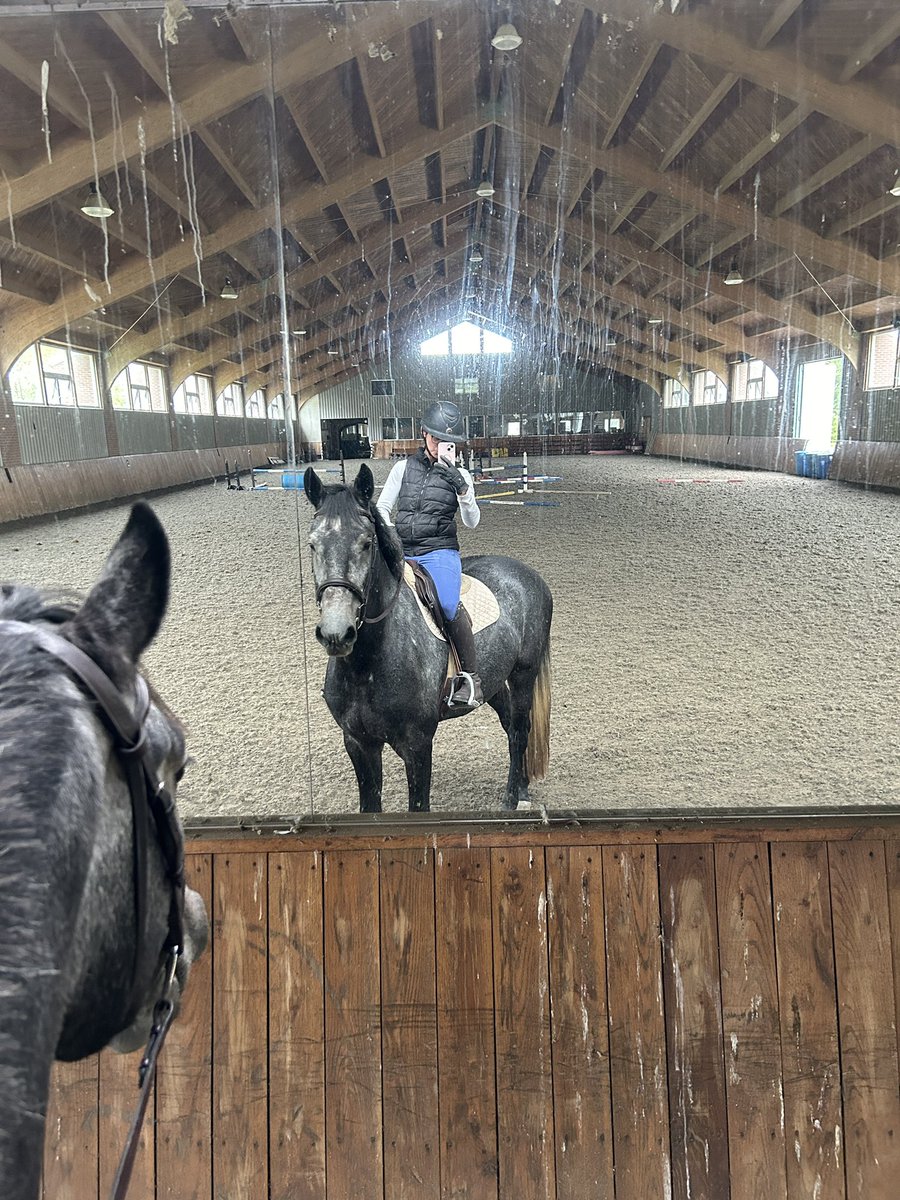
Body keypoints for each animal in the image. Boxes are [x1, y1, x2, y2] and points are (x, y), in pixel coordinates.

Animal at [304, 463, 553, 812]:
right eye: (313, 544)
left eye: (366, 543)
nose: (336, 633)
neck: (367, 665)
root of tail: (530, 575)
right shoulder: (358, 743)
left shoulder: (418, 745)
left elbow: (418, 806)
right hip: (492, 680)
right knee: (509, 725)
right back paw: (522, 786)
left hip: (523, 675)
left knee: (520, 728)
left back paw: (512, 799)